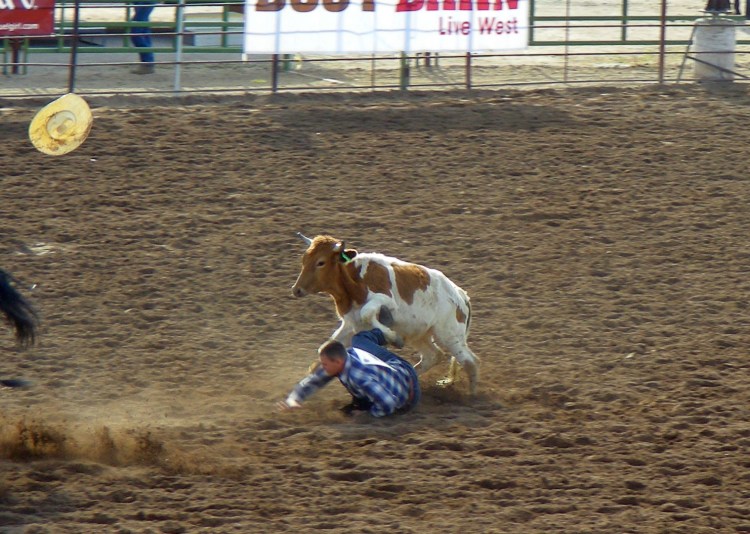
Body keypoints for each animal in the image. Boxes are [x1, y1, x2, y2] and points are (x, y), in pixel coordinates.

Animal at [291, 234, 480, 394]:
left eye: (320, 262)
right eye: (304, 260)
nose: (296, 289)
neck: (354, 282)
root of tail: (461, 296)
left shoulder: (386, 301)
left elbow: (367, 312)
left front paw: (393, 337)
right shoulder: (351, 324)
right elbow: (326, 348)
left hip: (448, 335)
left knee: (469, 361)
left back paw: (472, 395)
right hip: (420, 334)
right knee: (433, 356)